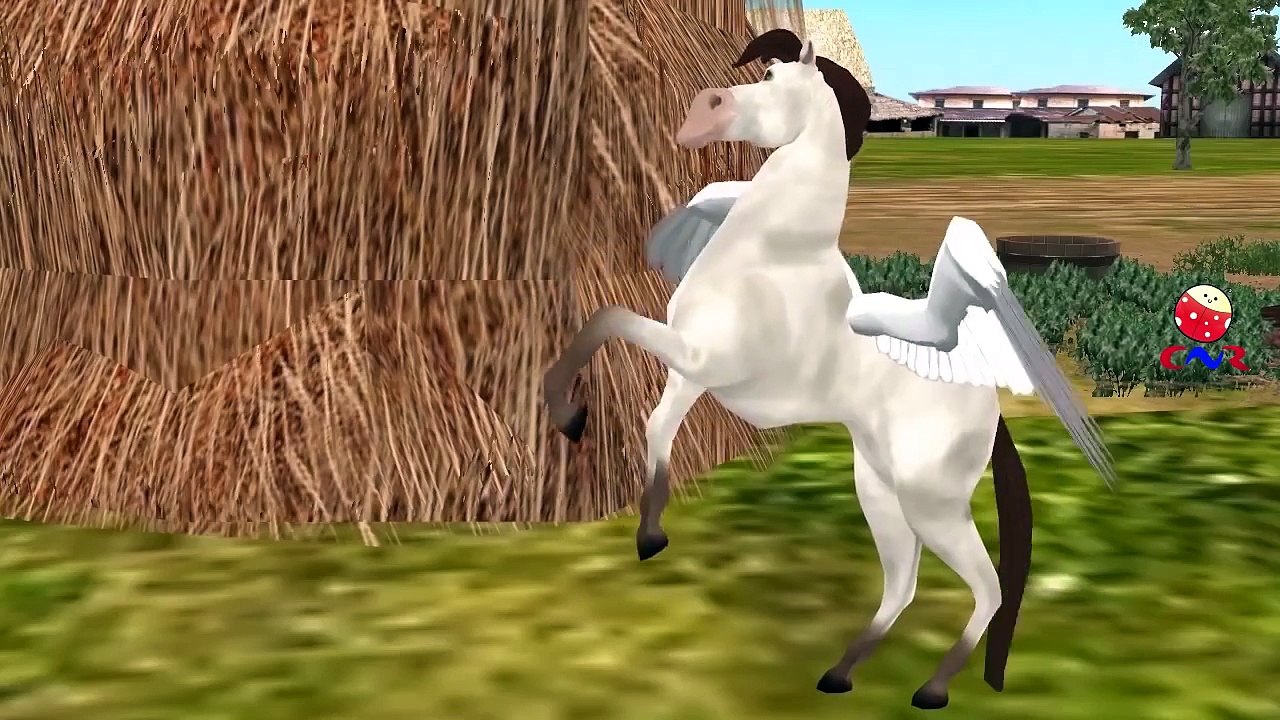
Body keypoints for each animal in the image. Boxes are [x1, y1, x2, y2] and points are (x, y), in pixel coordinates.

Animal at [544, 29, 1114, 710]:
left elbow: (606, 320)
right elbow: (655, 424)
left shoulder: (700, 358)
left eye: (775, 79)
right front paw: (649, 531)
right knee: (903, 583)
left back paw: (931, 689)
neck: (769, 255)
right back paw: (840, 674)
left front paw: (568, 416)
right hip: (878, 488)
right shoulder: (693, 371)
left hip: (931, 502)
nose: (702, 110)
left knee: (987, 587)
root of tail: (985, 405)